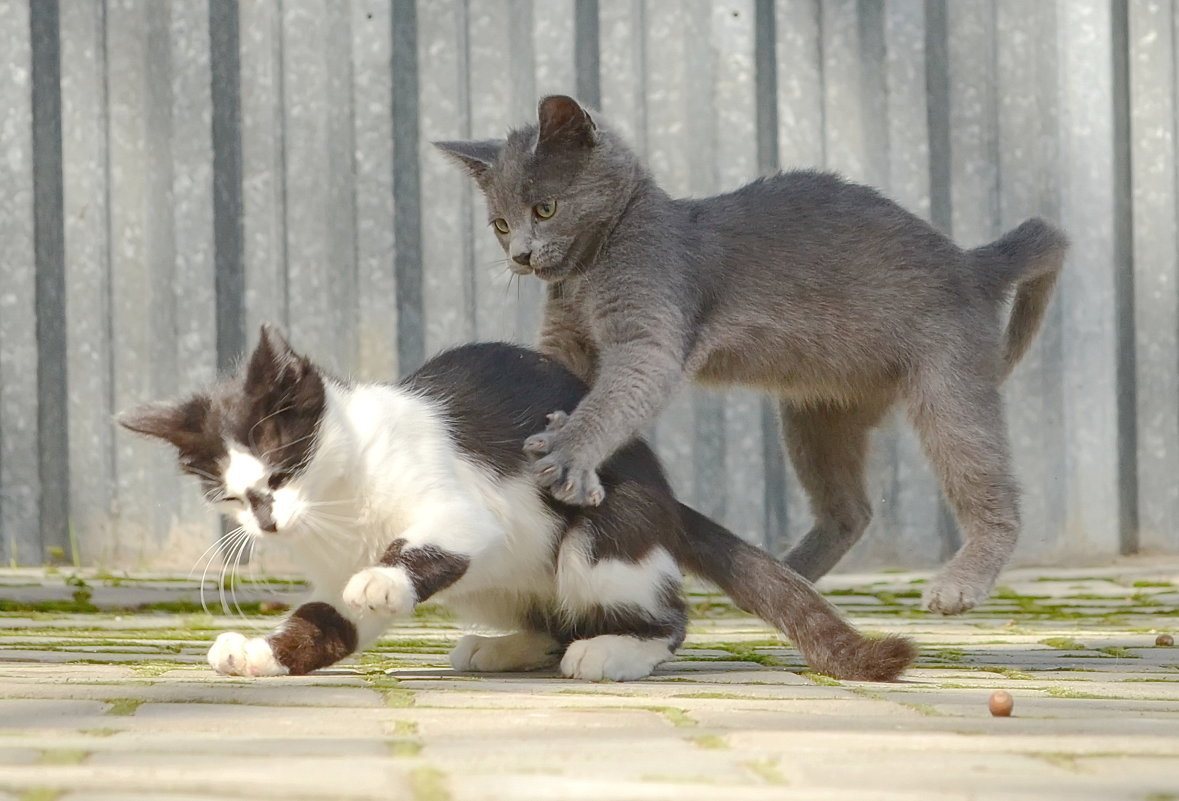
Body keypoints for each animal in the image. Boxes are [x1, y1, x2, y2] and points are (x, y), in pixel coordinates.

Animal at [117, 325, 910, 684]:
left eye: (282, 472)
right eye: (229, 494)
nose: (266, 518)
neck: (343, 509)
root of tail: (663, 490)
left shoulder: (467, 508)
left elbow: (425, 546)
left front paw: (382, 578)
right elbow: (326, 618)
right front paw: (258, 652)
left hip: (601, 532)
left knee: (660, 614)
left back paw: (612, 652)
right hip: (503, 583)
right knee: (545, 614)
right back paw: (504, 646)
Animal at [440, 97, 1070, 618]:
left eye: (545, 209)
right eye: (500, 224)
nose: (521, 256)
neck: (588, 273)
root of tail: (972, 262)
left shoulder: (650, 335)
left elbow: (612, 401)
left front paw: (568, 455)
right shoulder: (568, 338)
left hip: (946, 387)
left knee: (992, 491)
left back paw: (956, 585)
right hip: (816, 412)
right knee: (851, 510)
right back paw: (786, 578)